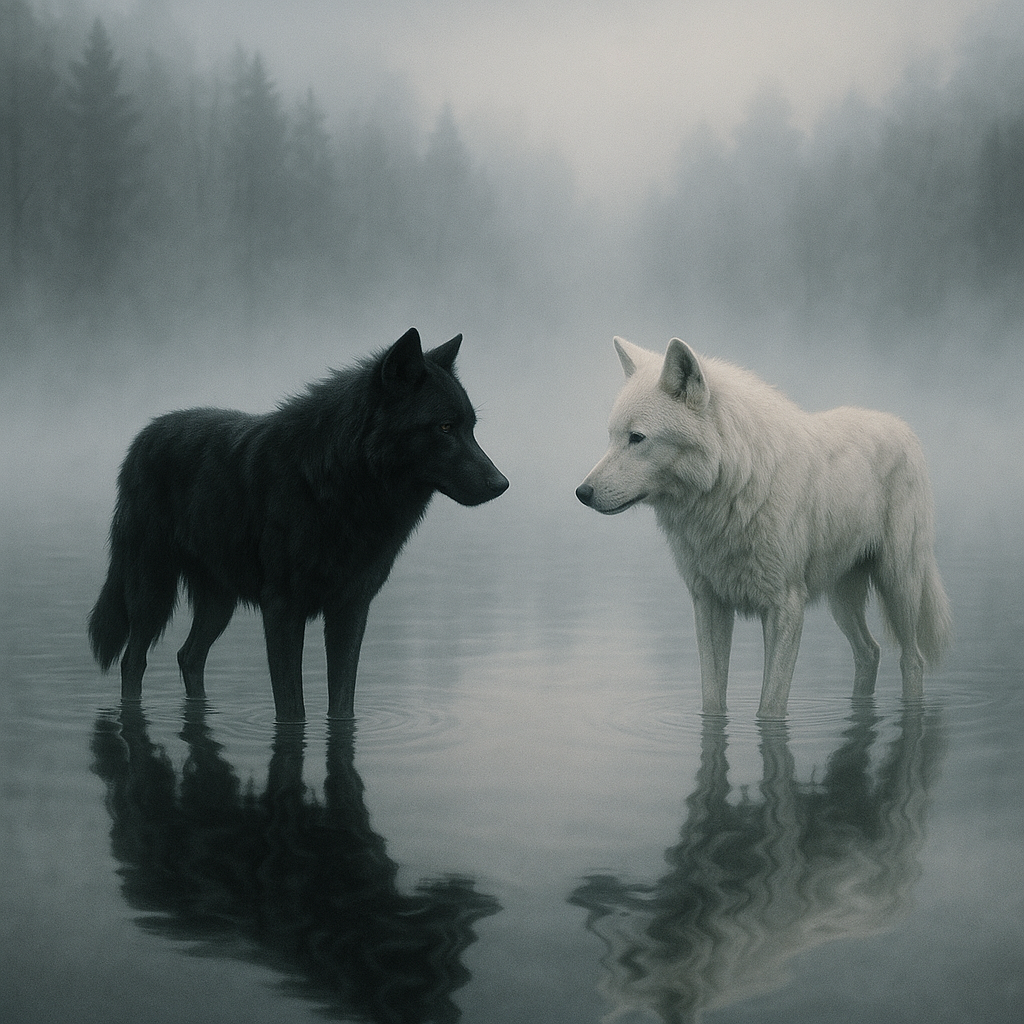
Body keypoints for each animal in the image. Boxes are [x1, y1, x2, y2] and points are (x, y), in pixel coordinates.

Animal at [89, 328, 508, 721]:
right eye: (445, 427)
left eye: (471, 427)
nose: (501, 484)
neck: (340, 486)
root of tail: (143, 436)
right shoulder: (283, 610)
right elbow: (292, 709)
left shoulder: (351, 608)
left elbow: (342, 704)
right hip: (152, 592)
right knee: (133, 661)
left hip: (219, 603)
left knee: (188, 656)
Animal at [576, 336, 951, 718]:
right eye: (611, 437)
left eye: (636, 438)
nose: (582, 493)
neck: (735, 485)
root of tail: (902, 427)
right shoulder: (708, 604)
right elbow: (712, 701)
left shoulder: (785, 607)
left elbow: (770, 708)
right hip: (842, 600)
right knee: (869, 651)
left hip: (899, 586)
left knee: (912, 659)